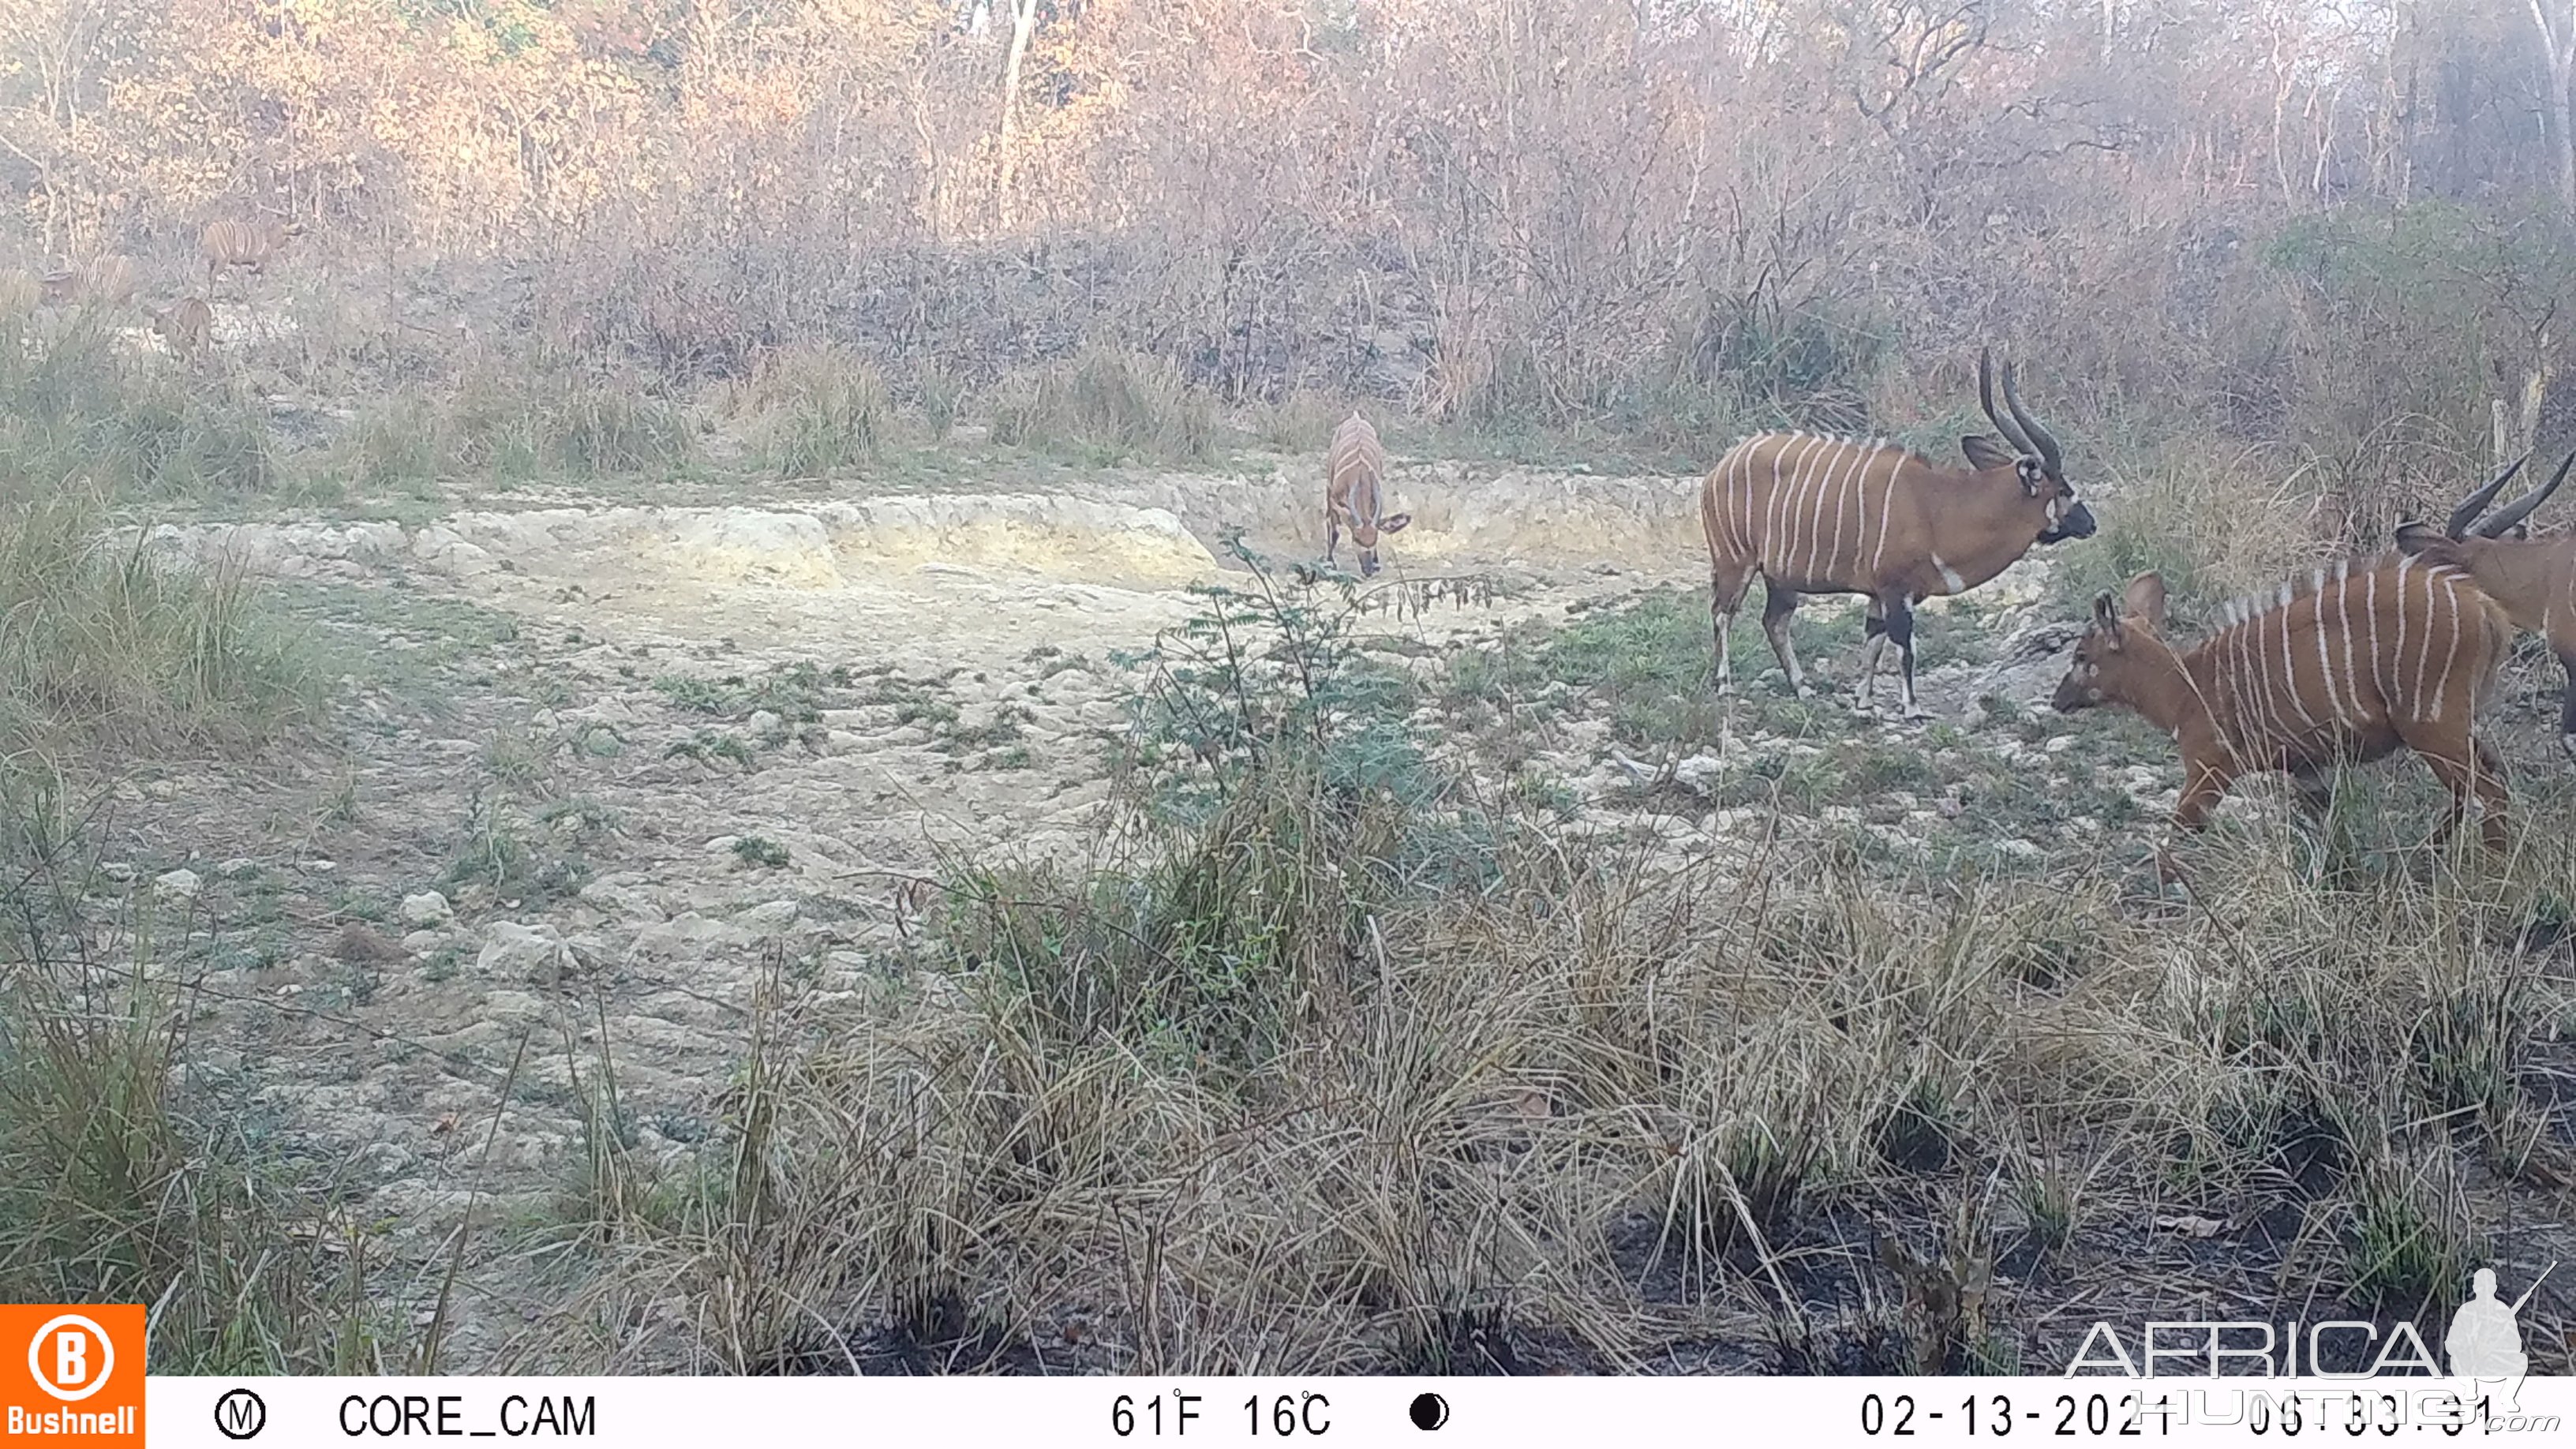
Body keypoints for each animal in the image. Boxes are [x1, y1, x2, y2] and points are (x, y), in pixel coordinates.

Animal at [1329, 410, 1411, 572]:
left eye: (1374, 539)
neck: (1359, 475)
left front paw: (1376, 562)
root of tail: (1356, 417)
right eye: (1356, 538)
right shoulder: (1334, 499)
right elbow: (1335, 532)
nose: (1368, 570)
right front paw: (1329, 561)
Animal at [1710, 345, 2091, 717]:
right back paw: (1725, 684)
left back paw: (1803, 687)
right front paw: (1912, 708)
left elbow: (1874, 645)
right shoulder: (1895, 592)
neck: (1939, 505)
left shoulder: (1879, 595)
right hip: (1736, 563)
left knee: (1774, 621)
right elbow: (1905, 648)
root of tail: (1726, 461)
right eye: (2062, 490)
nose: (2090, 523)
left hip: (1780, 577)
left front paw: (1864, 704)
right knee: (1722, 613)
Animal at [2050, 552, 2514, 866]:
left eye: (2080, 655)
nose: (2057, 700)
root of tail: (2486, 609)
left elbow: (2177, 835)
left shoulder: (2210, 768)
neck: (2186, 687)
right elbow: (2329, 830)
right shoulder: (2307, 770)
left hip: (2430, 725)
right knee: (2484, 782)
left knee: (2488, 792)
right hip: (2451, 727)